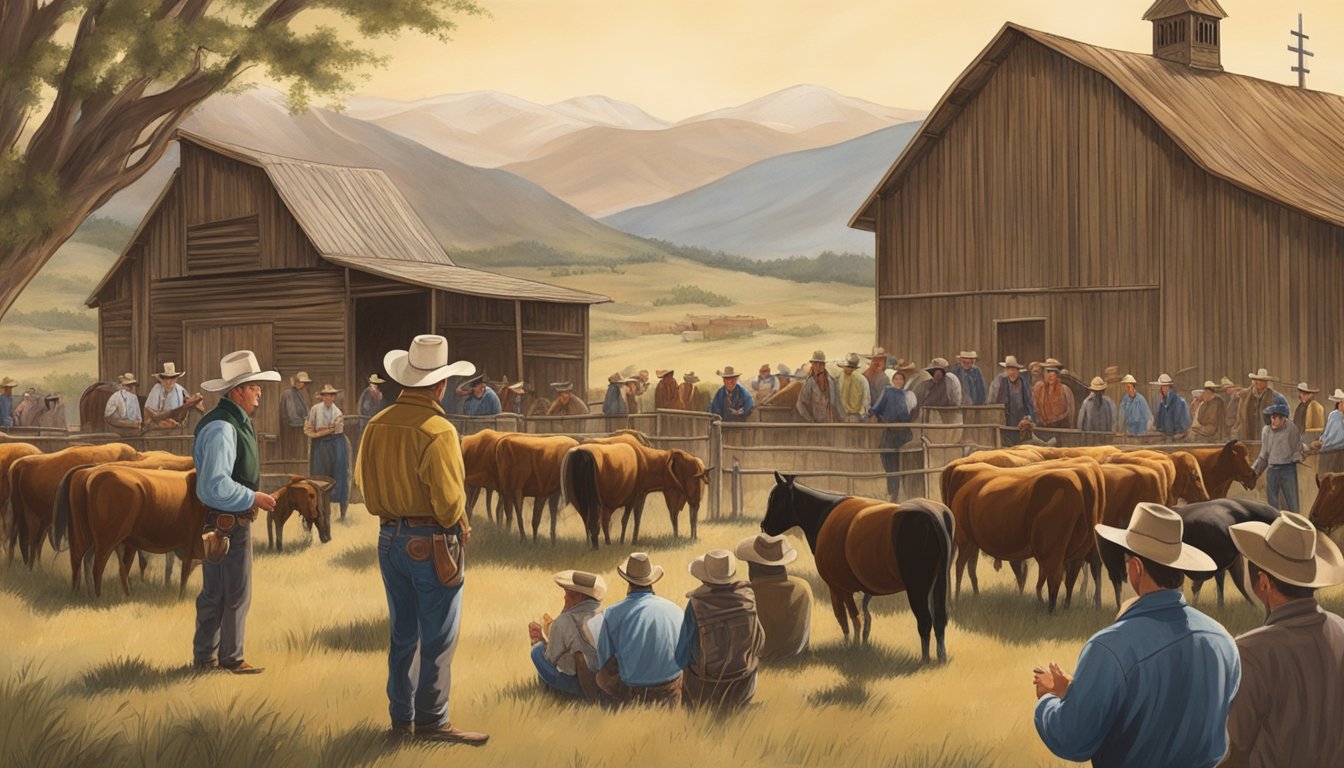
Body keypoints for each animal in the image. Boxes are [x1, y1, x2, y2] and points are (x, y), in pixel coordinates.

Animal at [758, 470, 956, 664]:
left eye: (775, 500)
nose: (763, 526)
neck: (824, 513)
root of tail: (933, 513)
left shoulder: (838, 586)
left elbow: (848, 618)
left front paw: (850, 646)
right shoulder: (861, 589)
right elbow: (865, 618)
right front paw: (862, 645)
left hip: (917, 586)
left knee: (925, 620)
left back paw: (924, 660)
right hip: (939, 582)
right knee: (940, 618)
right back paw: (941, 658)